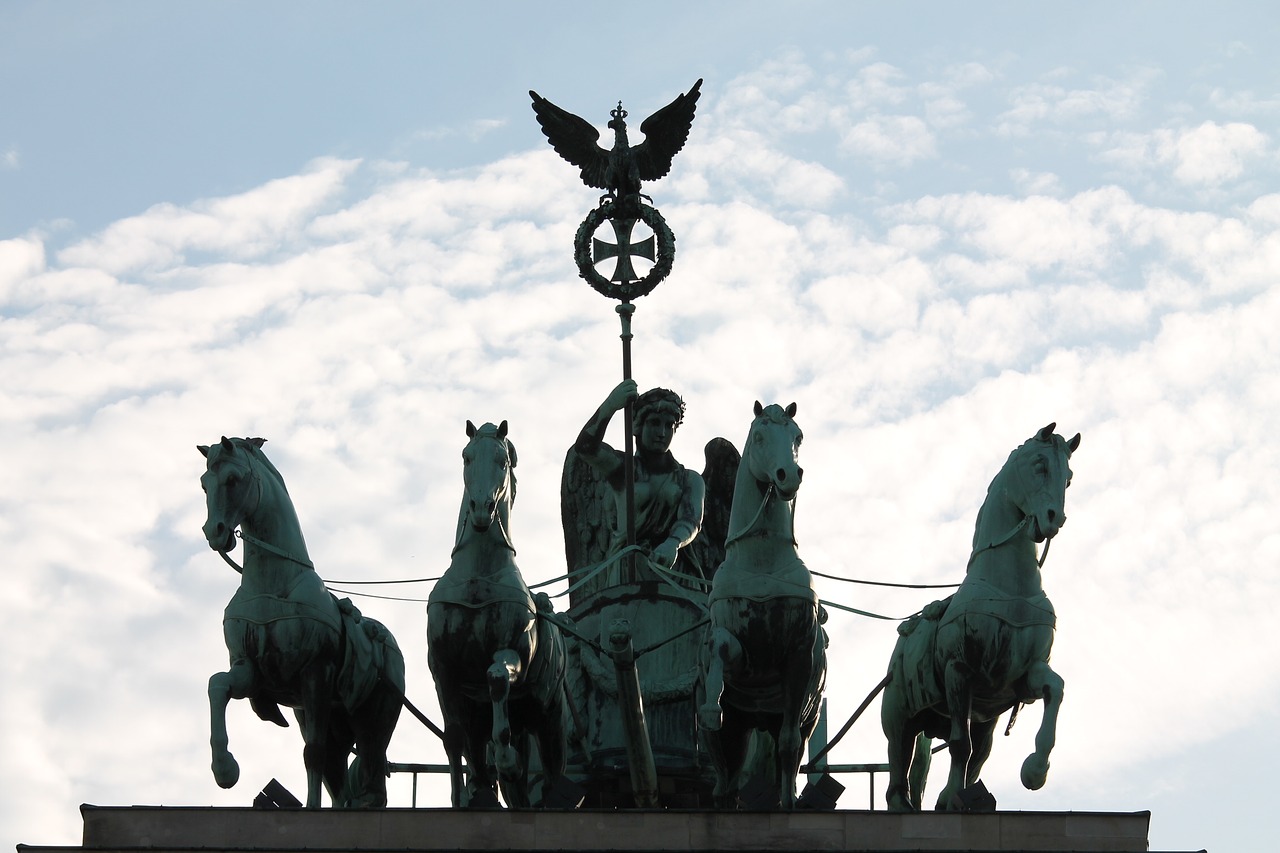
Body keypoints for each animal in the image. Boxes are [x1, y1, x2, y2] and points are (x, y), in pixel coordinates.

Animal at [198, 438, 404, 804]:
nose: (214, 532)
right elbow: (217, 684)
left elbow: (313, 754)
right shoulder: (250, 670)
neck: (273, 582)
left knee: (368, 774)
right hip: (331, 722)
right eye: (204, 484)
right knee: (339, 777)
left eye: (233, 480)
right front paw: (225, 769)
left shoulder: (316, 674)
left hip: (372, 722)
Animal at [427, 417, 568, 804]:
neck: (479, 576)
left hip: (548, 717)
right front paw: (464, 796)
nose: (481, 508)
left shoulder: (511, 650)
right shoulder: (442, 668)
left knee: (553, 771)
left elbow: (496, 678)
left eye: (502, 461)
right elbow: (454, 737)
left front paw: (506, 760)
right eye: (466, 457)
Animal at [701, 402, 829, 809]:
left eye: (797, 436)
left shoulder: (798, 657)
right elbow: (721, 646)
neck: (761, 562)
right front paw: (710, 702)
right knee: (724, 778)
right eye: (759, 436)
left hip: (798, 718)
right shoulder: (739, 648)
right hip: (734, 731)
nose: (788, 475)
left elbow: (787, 748)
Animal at [880, 422, 1080, 809]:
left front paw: (1035, 769)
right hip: (899, 714)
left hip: (985, 718)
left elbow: (1056, 688)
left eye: (1069, 478)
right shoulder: (959, 671)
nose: (1055, 519)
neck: (1010, 588)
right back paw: (907, 803)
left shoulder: (1023, 677)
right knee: (898, 766)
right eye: (1039, 465)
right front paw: (953, 798)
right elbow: (960, 744)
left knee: (981, 754)